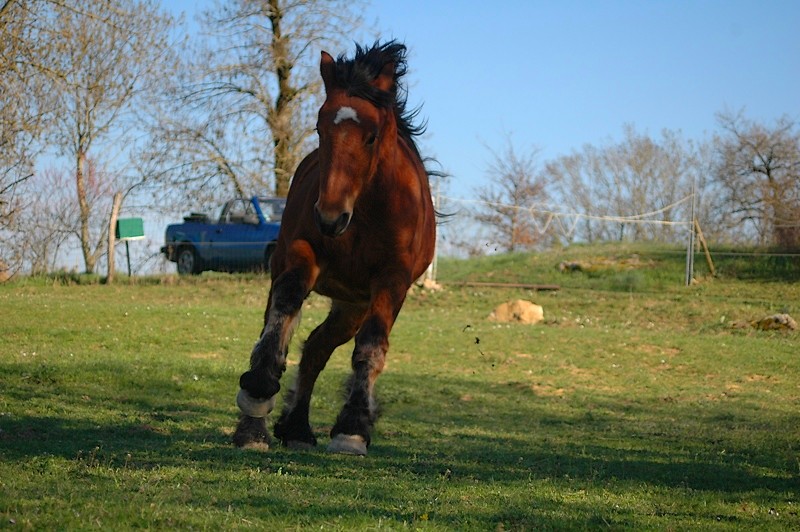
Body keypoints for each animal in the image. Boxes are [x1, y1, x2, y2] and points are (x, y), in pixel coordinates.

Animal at [233, 42, 438, 458]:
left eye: (372, 136)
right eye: (319, 128)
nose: (329, 217)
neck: (365, 212)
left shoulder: (391, 280)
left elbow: (372, 345)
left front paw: (352, 429)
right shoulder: (302, 254)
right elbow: (285, 308)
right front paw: (257, 398)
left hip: (352, 306)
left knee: (317, 348)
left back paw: (297, 426)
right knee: (293, 333)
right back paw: (270, 425)